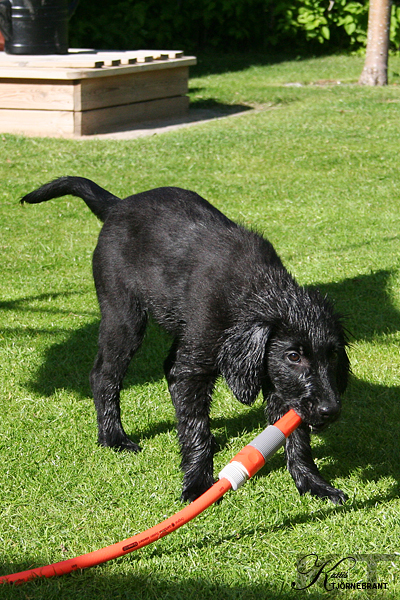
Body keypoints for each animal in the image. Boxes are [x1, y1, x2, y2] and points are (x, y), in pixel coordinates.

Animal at [21, 176, 350, 504]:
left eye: (333, 355)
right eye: (294, 356)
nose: (331, 410)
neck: (257, 290)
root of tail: (118, 204)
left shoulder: (279, 385)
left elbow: (295, 436)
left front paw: (313, 483)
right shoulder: (198, 366)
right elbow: (195, 426)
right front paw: (197, 483)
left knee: (168, 368)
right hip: (124, 316)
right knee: (104, 374)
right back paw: (113, 437)